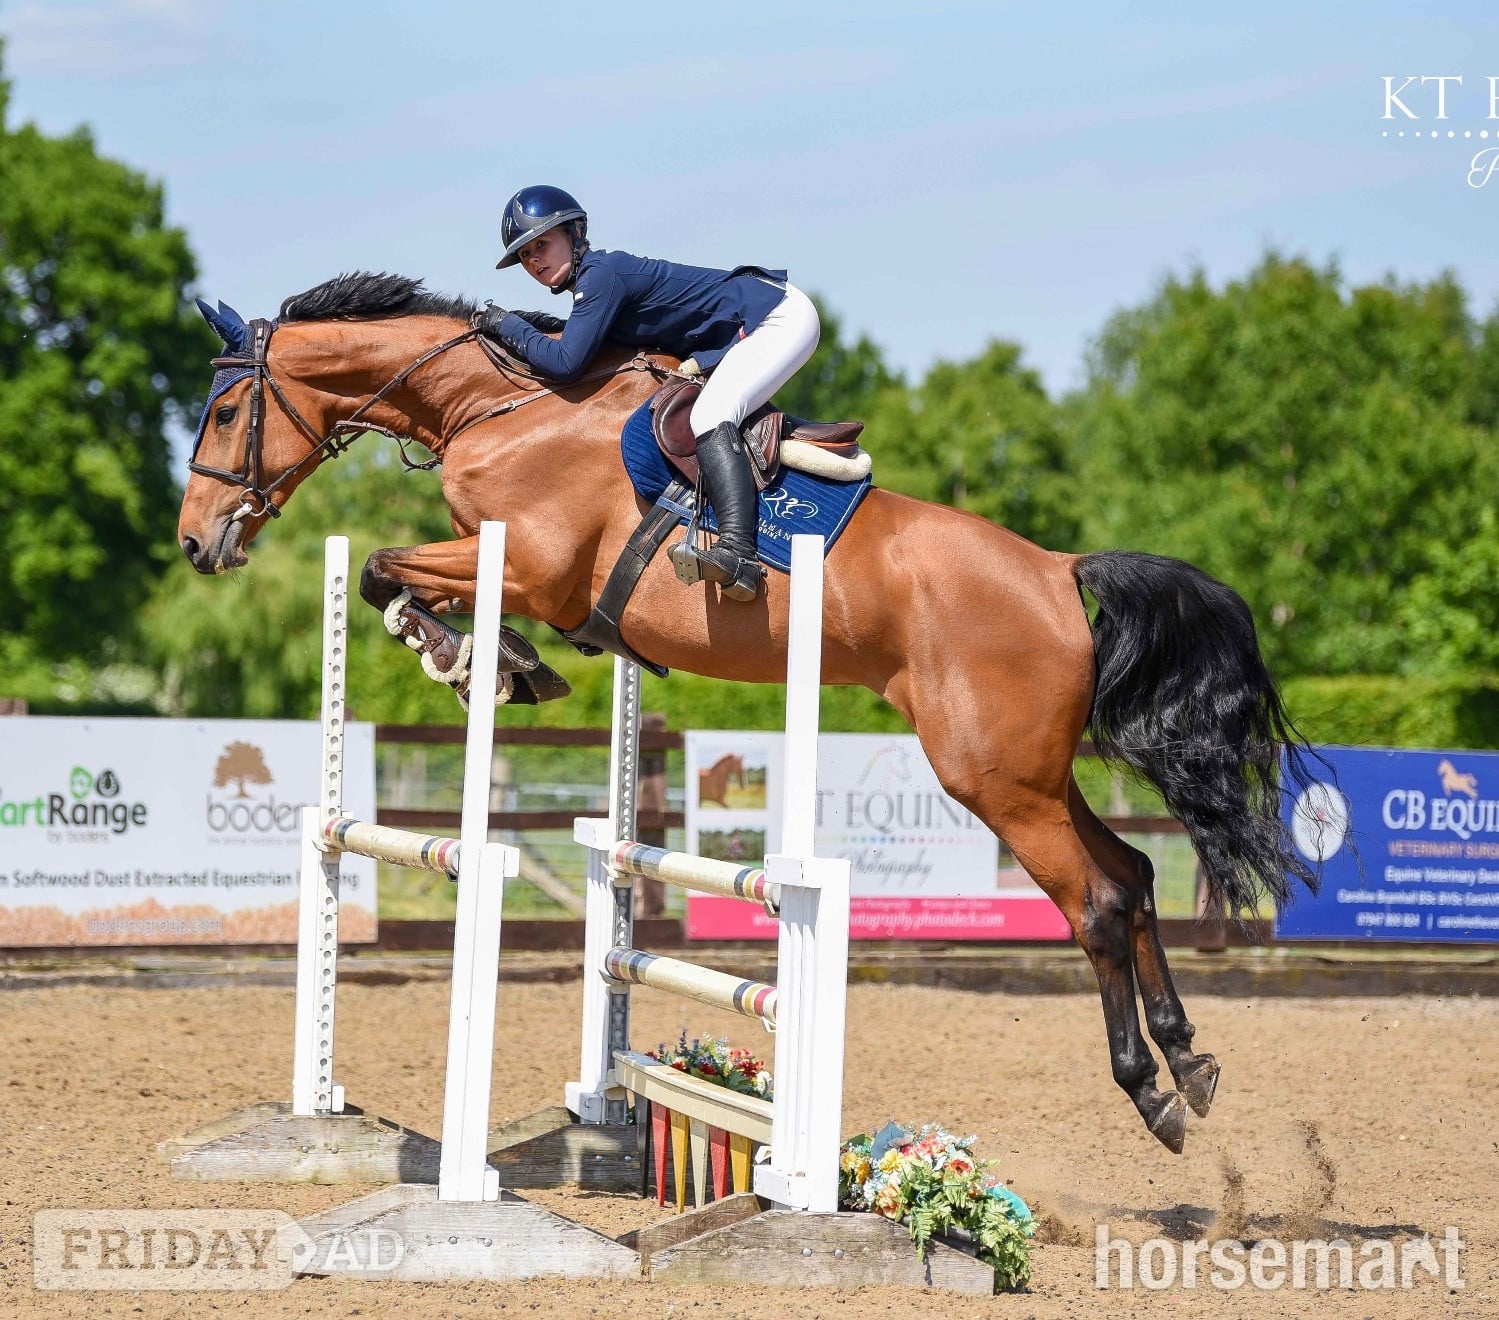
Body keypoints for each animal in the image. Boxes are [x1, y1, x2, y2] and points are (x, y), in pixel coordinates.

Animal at [177, 273, 1319, 1154]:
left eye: (226, 414)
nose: (198, 542)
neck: (498, 409)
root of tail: (1055, 569)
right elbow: (388, 574)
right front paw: (479, 658)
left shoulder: (532, 568)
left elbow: (383, 564)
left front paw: (479, 659)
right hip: (1026, 771)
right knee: (1132, 876)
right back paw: (1189, 1059)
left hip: (992, 777)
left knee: (1097, 902)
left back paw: (1149, 1089)